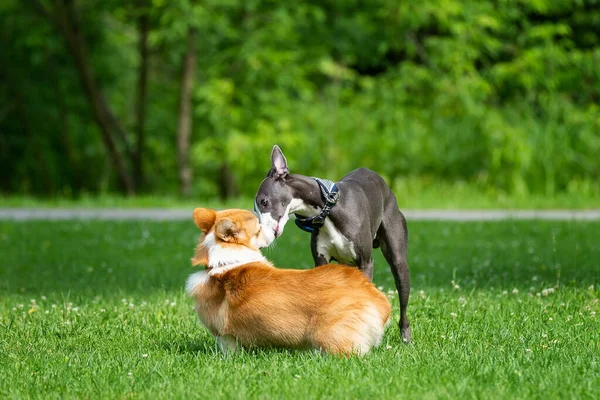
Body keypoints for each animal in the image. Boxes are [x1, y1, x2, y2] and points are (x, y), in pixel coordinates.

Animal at [188, 208, 394, 354]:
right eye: (258, 228)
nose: (276, 230)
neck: (223, 260)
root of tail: (370, 292)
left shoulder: (224, 336)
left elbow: (229, 350)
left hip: (329, 336)